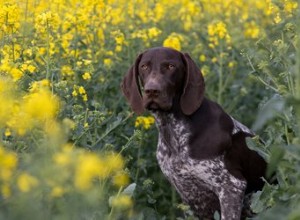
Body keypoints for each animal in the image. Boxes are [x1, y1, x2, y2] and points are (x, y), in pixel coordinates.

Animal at [120, 47, 266, 219]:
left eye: (171, 66)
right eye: (144, 67)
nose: (152, 90)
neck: (173, 130)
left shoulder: (232, 187)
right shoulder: (191, 197)